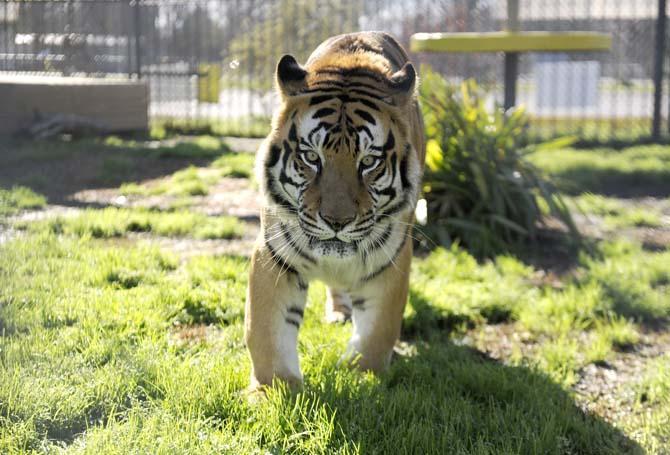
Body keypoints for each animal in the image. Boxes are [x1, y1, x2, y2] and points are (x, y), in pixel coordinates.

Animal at [245, 30, 426, 390]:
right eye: (312, 157)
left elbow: (377, 332)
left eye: (368, 162)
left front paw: (360, 375)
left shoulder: (391, 260)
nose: (336, 222)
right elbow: (266, 332)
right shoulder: (274, 256)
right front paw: (274, 389)